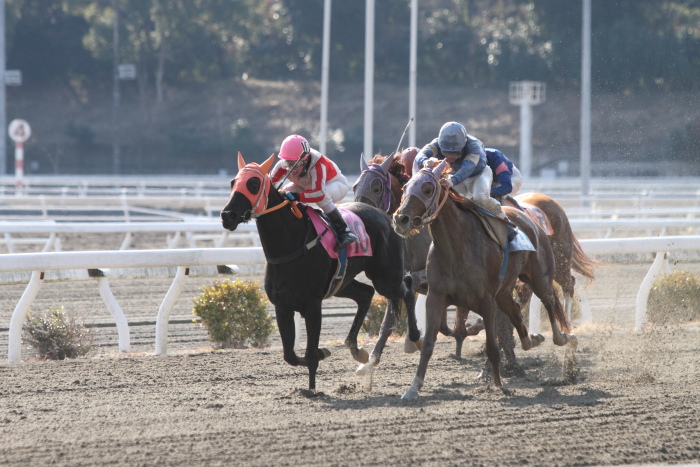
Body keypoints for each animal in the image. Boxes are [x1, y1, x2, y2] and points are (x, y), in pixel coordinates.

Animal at [221, 154, 418, 392]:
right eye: (233, 182)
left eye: (253, 184)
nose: (227, 215)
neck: (290, 245)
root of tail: (387, 216)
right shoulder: (282, 306)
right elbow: (290, 355)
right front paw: (322, 353)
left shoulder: (313, 305)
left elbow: (309, 354)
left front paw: (312, 388)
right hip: (343, 282)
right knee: (366, 293)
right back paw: (357, 350)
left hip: (386, 278)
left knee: (407, 286)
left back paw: (414, 337)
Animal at [394, 162, 576, 398]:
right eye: (405, 187)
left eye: (427, 189)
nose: (400, 219)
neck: (457, 247)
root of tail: (532, 220)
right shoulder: (436, 296)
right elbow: (428, 345)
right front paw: (413, 387)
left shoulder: (486, 300)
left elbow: (492, 346)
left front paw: (498, 385)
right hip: (505, 293)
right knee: (517, 314)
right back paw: (532, 339)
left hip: (540, 278)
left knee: (551, 301)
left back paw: (565, 337)